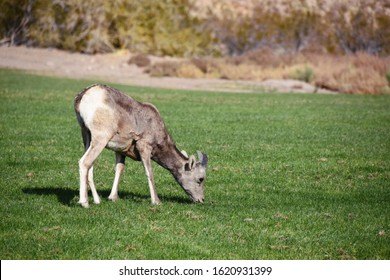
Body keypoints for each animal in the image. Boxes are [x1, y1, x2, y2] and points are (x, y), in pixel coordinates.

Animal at [73, 84, 207, 207]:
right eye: (200, 179)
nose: (201, 200)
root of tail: (84, 94)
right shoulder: (144, 147)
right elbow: (149, 172)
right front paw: (156, 201)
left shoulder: (120, 150)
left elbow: (119, 169)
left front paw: (113, 197)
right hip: (101, 139)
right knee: (85, 162)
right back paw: (84, 203)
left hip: (86, 135)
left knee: (90, 167)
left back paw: (97, 200)